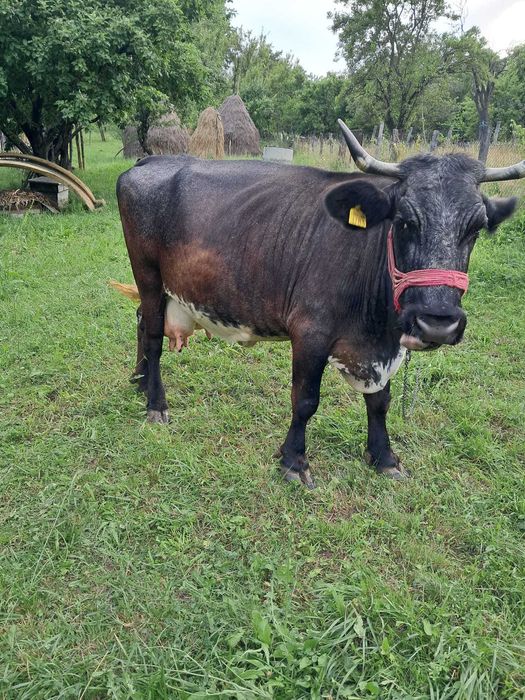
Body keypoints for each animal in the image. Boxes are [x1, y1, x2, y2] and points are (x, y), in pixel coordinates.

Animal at [115, 120, 524, 487]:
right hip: (147, 272)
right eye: (405, 220)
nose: (437, 321)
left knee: (141, 320)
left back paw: (140, 380)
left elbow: (381, 401)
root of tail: (152, 160)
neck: (377, 333)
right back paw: (156, 404)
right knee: (153, 334)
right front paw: (294, 461)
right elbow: (305, 400)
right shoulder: (310, 333)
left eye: (475, 228)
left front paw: (384, 456)